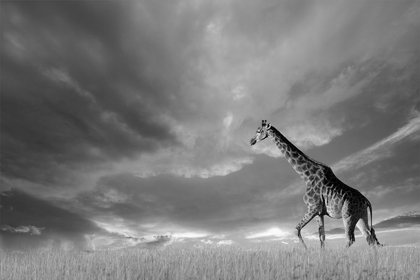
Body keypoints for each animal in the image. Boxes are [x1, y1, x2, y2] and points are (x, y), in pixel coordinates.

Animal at [249, 119, 380, 248]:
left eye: (259, 131)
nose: (251, 141)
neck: (306, 176)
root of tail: (367, 201)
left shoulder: (312, 207)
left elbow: (296, 230)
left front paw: (306, 251)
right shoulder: (319, 213)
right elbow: (322, 237)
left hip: (348, 215)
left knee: (351, 239)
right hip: (361, 216)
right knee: (369, 236)